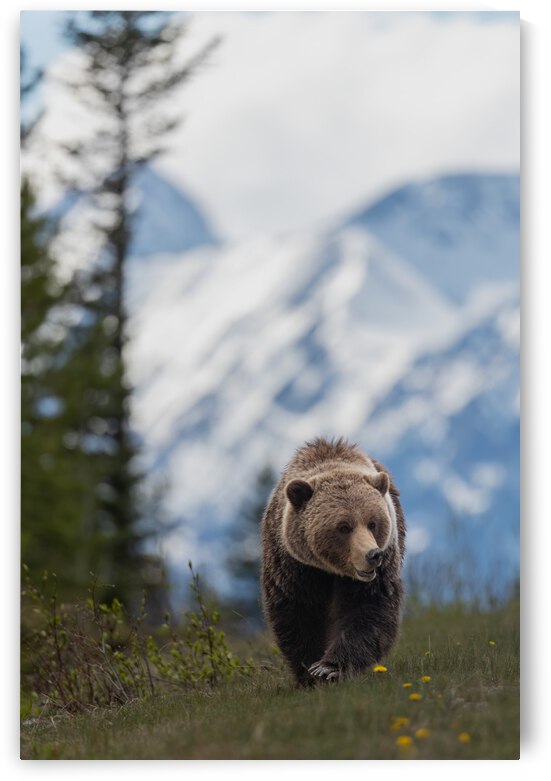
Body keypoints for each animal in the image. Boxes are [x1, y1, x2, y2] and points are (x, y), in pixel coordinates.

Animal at [261, 437, 406, 686]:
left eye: (373, 522)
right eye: (343, 526)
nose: (372, 554)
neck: (331, 570)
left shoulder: (380, 568)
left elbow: (368, 608)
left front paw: (329, 668)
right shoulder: (294, 566)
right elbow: (298, 613)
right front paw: (310, 672)